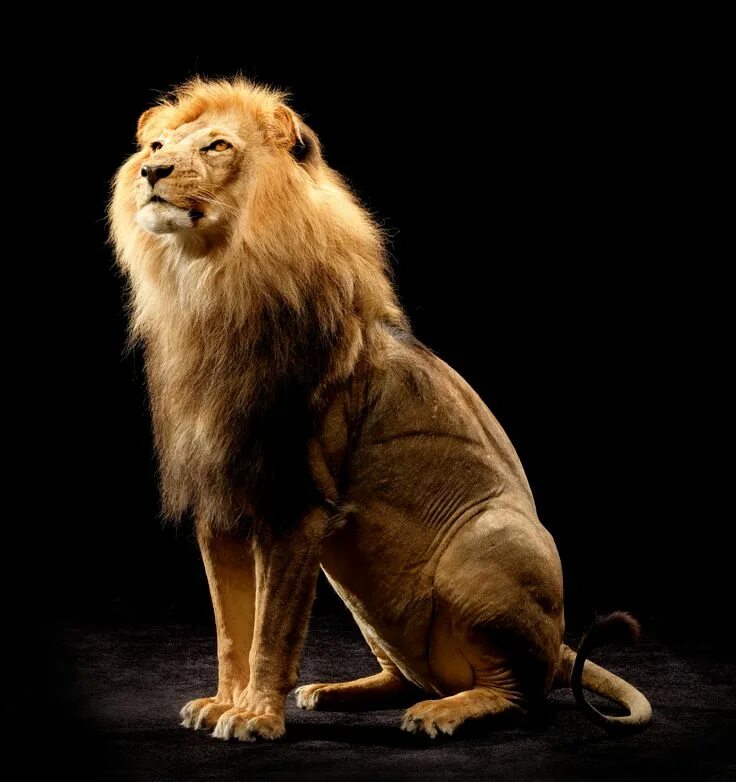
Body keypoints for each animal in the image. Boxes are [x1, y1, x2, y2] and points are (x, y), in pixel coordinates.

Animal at [110, 78, 652, 742]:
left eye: (217, 146)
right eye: (156, 146)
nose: (152, 171)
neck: (210, 288)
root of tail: (558, 643)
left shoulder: (296, 506)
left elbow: (270, 632)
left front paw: (255, 717)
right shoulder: (219, 505)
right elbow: (231, 631)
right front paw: (221, 703)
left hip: (487, 540)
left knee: (522, 694)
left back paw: (445, 712)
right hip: (360, 594)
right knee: (410, 675)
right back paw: (337, 691)